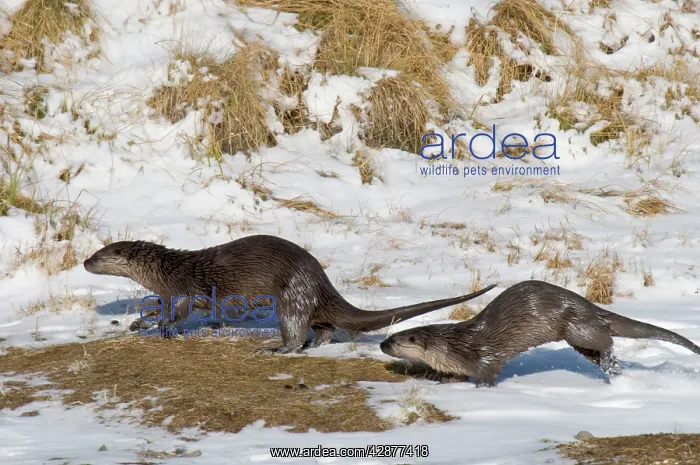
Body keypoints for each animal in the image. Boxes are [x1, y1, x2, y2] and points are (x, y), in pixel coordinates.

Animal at [83, 235, 496, 353]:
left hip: (291, 297)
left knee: (297, 328)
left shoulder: (184, 288)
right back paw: (315, 345)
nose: (84, 261)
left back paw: (279, 348)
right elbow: (160, 310)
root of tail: (321, 280)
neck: (166, 271)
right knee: (324, 326)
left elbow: (182, 312)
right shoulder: (168, 291)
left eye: (99, 256)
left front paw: (163, 328)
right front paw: (141, 322)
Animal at [380, 280, 700, 386]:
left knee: (605, 339)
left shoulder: (484, 359)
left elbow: (487, 375)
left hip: (578, 327)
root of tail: (589, 305)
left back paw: (611, 362)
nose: (381, 345)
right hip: (580, 339)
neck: (453, 345)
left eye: (394, 341)